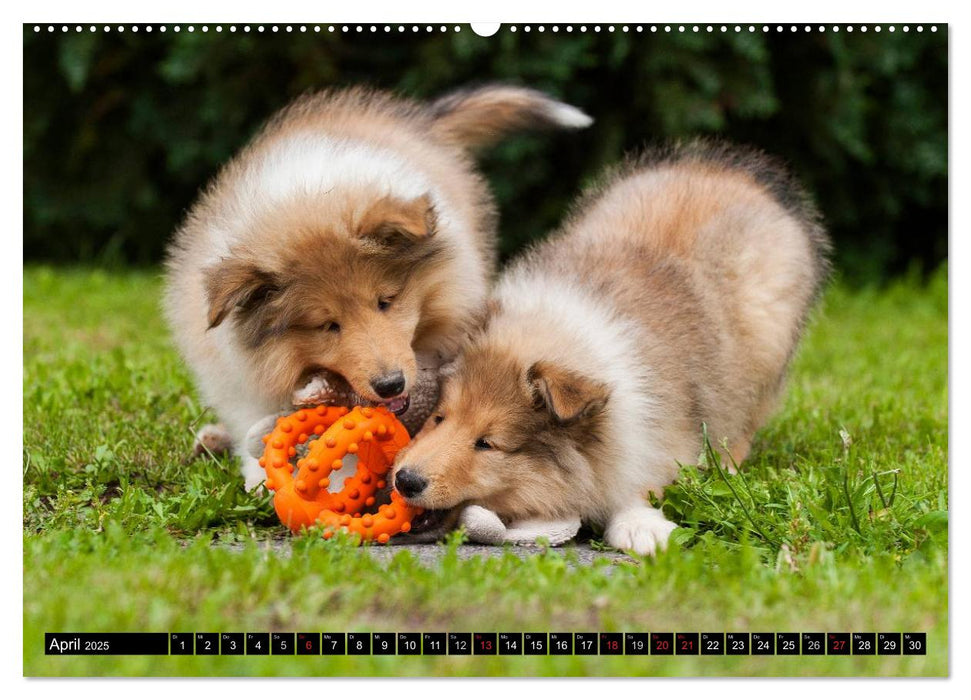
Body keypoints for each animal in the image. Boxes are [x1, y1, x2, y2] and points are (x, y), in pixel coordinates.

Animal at [392, 142, 832, 556]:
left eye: (488, 443)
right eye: (439, 418)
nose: (405, 479)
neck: (554, 333)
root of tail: (736, 171)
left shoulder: (659, 431)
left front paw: (641, 526)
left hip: (763, 353)